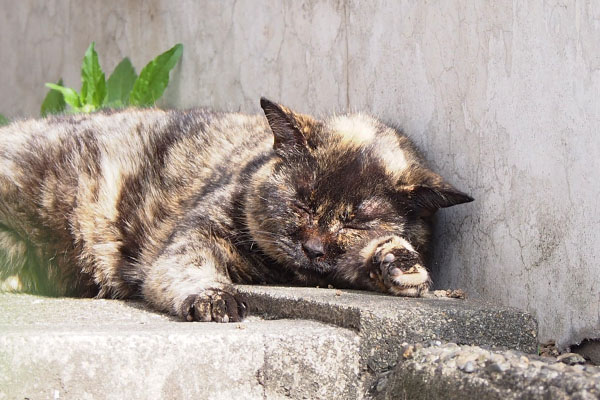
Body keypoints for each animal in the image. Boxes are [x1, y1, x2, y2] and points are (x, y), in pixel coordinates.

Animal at [0, 98, 472, 324]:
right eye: (300, 201)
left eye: (356, 219)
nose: (313, 248)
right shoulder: (197, 236)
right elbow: (190, 267)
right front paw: (214, 297)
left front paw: (400, 262)